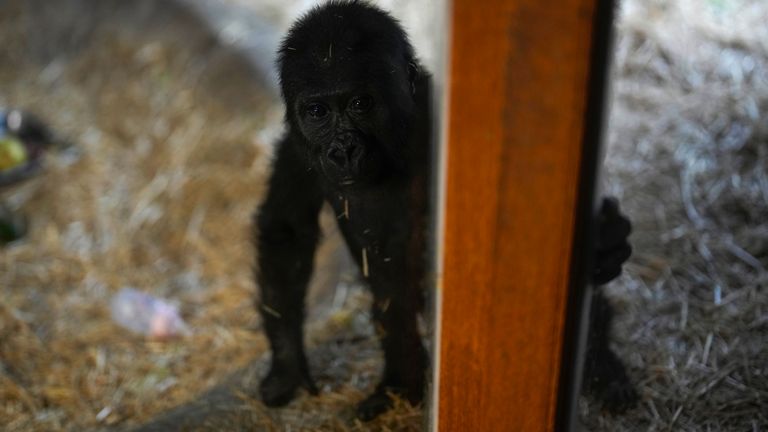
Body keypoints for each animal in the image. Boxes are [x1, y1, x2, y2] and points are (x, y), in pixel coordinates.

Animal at [254, 0, 428, 418]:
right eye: (318, 111)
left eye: (360, 104)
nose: (343, 150)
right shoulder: (295, 149)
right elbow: (287, 231)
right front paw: (287, 366)